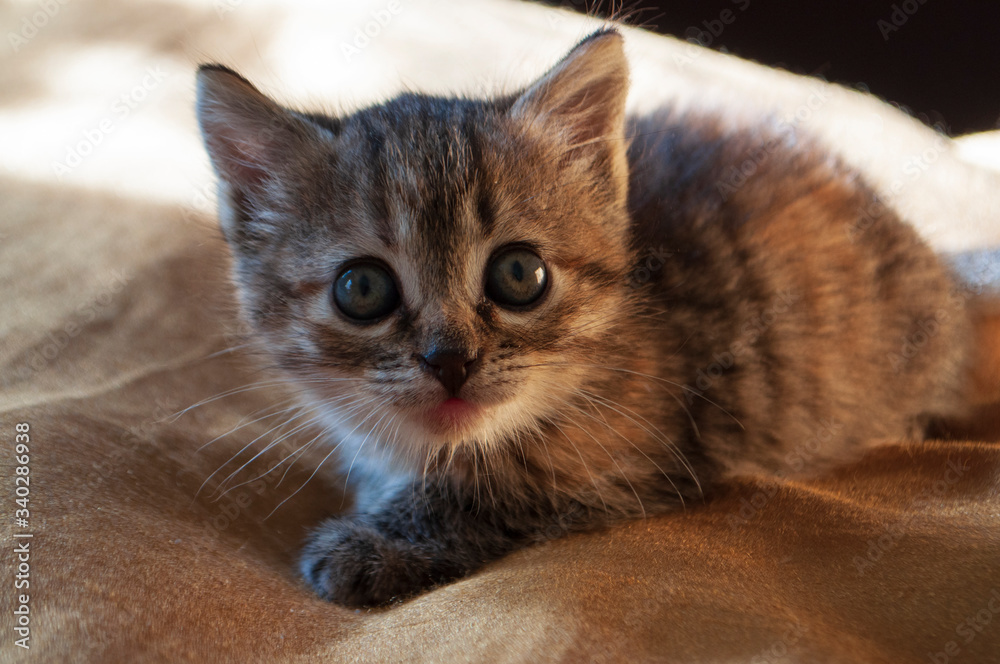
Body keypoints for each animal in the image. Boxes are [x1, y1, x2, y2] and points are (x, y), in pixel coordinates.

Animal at [195, 28, 968, 604]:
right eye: (362, 290)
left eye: (519, 275)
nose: (451, 361)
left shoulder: (641, 461)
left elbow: (497, 494)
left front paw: (375, 541)